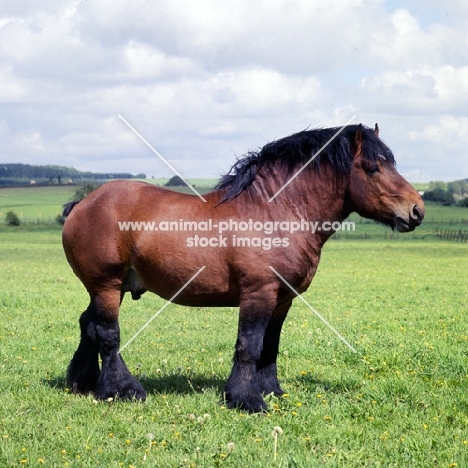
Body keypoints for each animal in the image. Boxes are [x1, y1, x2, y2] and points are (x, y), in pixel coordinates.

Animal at [61, 122, 424, 412]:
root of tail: (83, 203)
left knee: (88, 325)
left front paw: (272, 390)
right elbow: (249, 345)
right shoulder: (258, 293)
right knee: (108, 334)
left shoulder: (282, 300)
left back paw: (83, 383)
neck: (275, 212)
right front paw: (246, 399)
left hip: (112, 288)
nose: (417, 210)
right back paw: (121, 390)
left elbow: (270, 346)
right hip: (107, 285)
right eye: (374, 168)